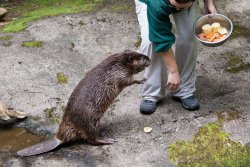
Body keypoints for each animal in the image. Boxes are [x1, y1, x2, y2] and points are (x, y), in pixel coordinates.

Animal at [17, 50, 151, 157]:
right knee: (91, 139)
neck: (118, 63)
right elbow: (127, 81)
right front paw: (142, 79)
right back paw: (108, 140)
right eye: (142, 57)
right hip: (91, 121)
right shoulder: (118, 73)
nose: (149, 59)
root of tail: (59, 138)